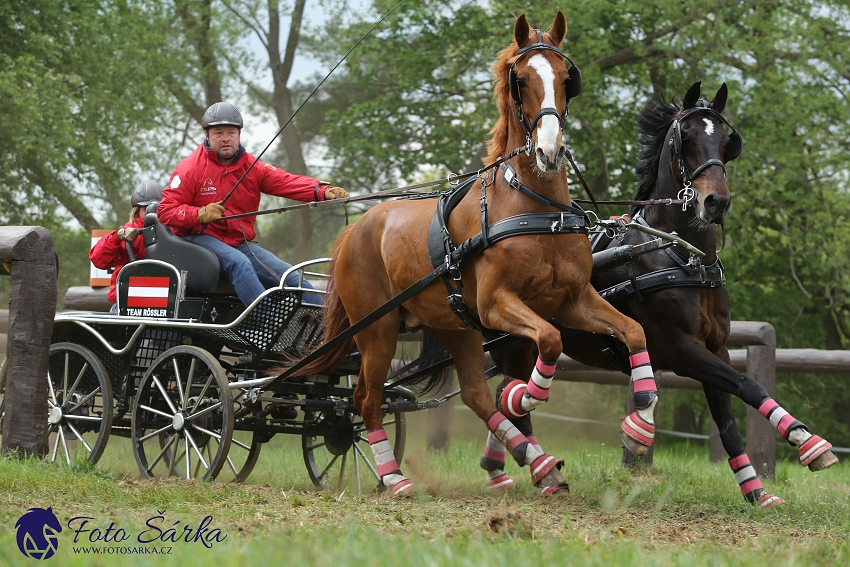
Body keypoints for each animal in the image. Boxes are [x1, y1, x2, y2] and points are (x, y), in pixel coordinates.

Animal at [294, 11, 660, 494]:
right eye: (520, 81)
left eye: (567, 79)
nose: (549, 151)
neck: (535, 210)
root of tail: (356, 229)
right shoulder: (494, 304)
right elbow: (549, 341)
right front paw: (523, 396)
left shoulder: (573, 300)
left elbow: (634, 332)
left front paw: (641, 426)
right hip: (377, 330)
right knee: (366, 398)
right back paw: (395, 479)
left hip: (453, 325)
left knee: (474, 394)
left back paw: (537, 462)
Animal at [480, 80, 840, 506]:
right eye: (687, 138)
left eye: (726, 142)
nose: (716, 202)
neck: (684, 258)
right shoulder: (682, 351)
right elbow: (748, 384)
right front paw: (807, 441)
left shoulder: (714, 348)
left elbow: (729, 421)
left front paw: (756, 491)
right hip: (511, 342)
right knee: (511, 400)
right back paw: (537, 468)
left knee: (507, 396)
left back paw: (502, 466)